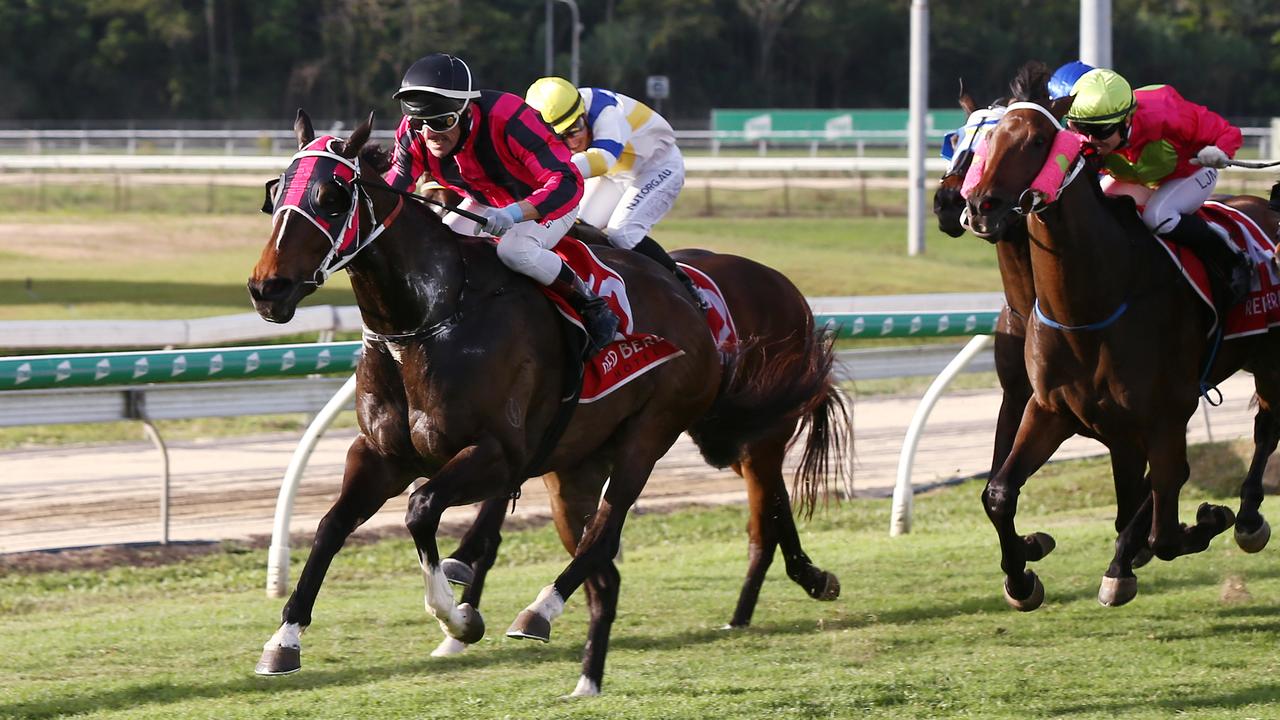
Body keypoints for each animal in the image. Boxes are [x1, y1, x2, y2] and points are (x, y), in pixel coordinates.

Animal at [249, 112, 849, 696]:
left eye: (332, 196)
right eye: (276, 191)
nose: (266, 288)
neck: (431, 319)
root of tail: (692, 305)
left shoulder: (498, 454)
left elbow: (423, 511)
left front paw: (459, 618)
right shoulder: (380, 455)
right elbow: (330, 526)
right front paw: (283, 640)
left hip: (657, 434)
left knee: (613, 534)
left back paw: (541, 610)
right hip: (582, 466)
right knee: (611, 567)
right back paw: (588, 680)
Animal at [962, 85, 1280, 609]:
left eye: (1037, 141)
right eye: (988, 140)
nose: (981, 205)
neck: (1090, 308)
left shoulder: (1165, 414)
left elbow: (1164, 529)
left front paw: (1203, 523)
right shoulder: (1050, 409)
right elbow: (999, 493)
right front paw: (1021, 580)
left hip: (1271, 362)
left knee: (1265, 428)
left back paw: (1249, 518)